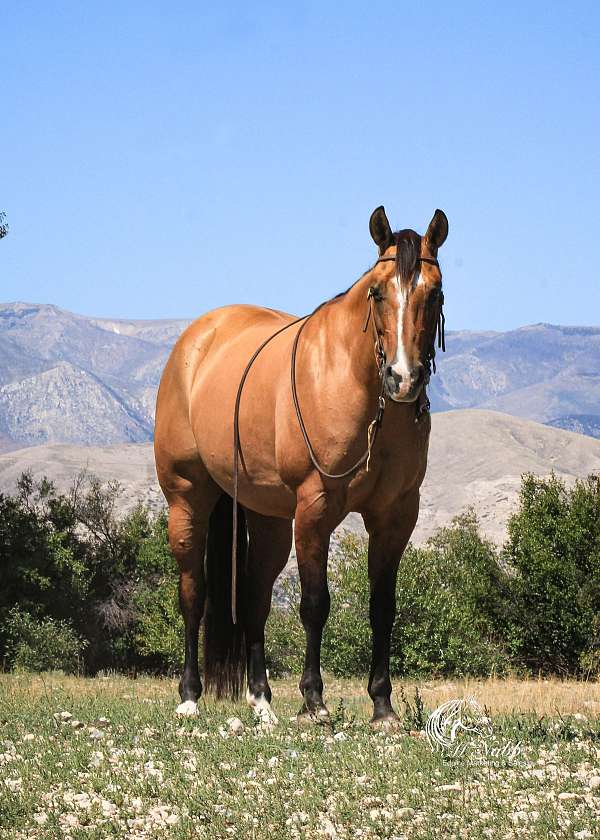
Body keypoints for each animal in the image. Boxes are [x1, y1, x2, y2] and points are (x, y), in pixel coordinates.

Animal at [152, 205, 448, 728]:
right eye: (377, 291)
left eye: (433, 293)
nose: (402, 378)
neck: (357, 387)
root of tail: (195, 341)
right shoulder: (315, 510)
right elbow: (315, 604)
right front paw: (314, 700)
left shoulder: (395, 516)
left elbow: (383, 607)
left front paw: (382, 706)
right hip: (187, 500)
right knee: (193, 593)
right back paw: (189, 696)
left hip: (268, 519)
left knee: (254, 598)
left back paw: (261, 699)